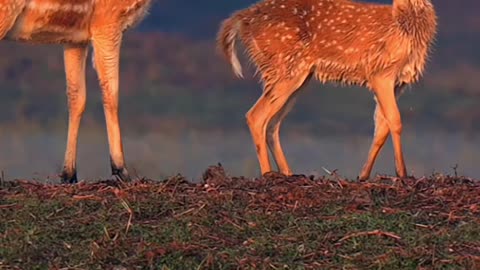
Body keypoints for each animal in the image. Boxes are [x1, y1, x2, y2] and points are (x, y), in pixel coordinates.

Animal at [0, 0, 153, 184]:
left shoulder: (75, 38)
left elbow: (77, 98)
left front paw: (69, 175)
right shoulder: (107, 21)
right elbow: (111, 94)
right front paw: (122, 171)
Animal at [219, 0, 436, 181]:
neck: (404, 26)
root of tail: (241, 19)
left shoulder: (398, 82)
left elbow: (381, 127)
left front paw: (363, 176)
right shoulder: (381, 73)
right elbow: (395, 121)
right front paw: (402, 174)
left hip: (298, 76)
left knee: (272, 123)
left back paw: (288, 174)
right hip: (284, 67)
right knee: (256, 116)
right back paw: (268, 175)